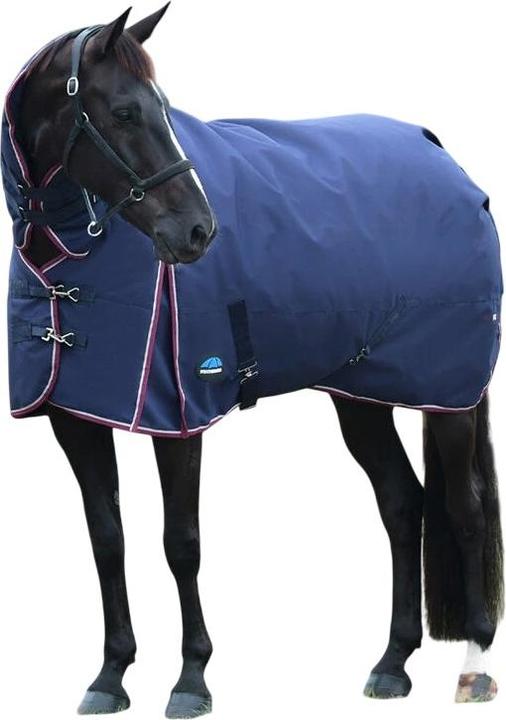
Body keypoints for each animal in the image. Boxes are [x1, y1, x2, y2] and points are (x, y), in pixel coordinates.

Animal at [2, 5, 503, 717]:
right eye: (123, 112)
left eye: (162, 109)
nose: (198, 232)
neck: (72, 259)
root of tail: (449, 163)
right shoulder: (75, 419)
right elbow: (107, 539)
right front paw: (110, 675)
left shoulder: (179, 417)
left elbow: (181, 543)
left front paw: (191, 679)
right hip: (362, 397)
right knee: (403, 505)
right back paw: (391, 664)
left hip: (449, 395)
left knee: (464, 509)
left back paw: (475, 665)